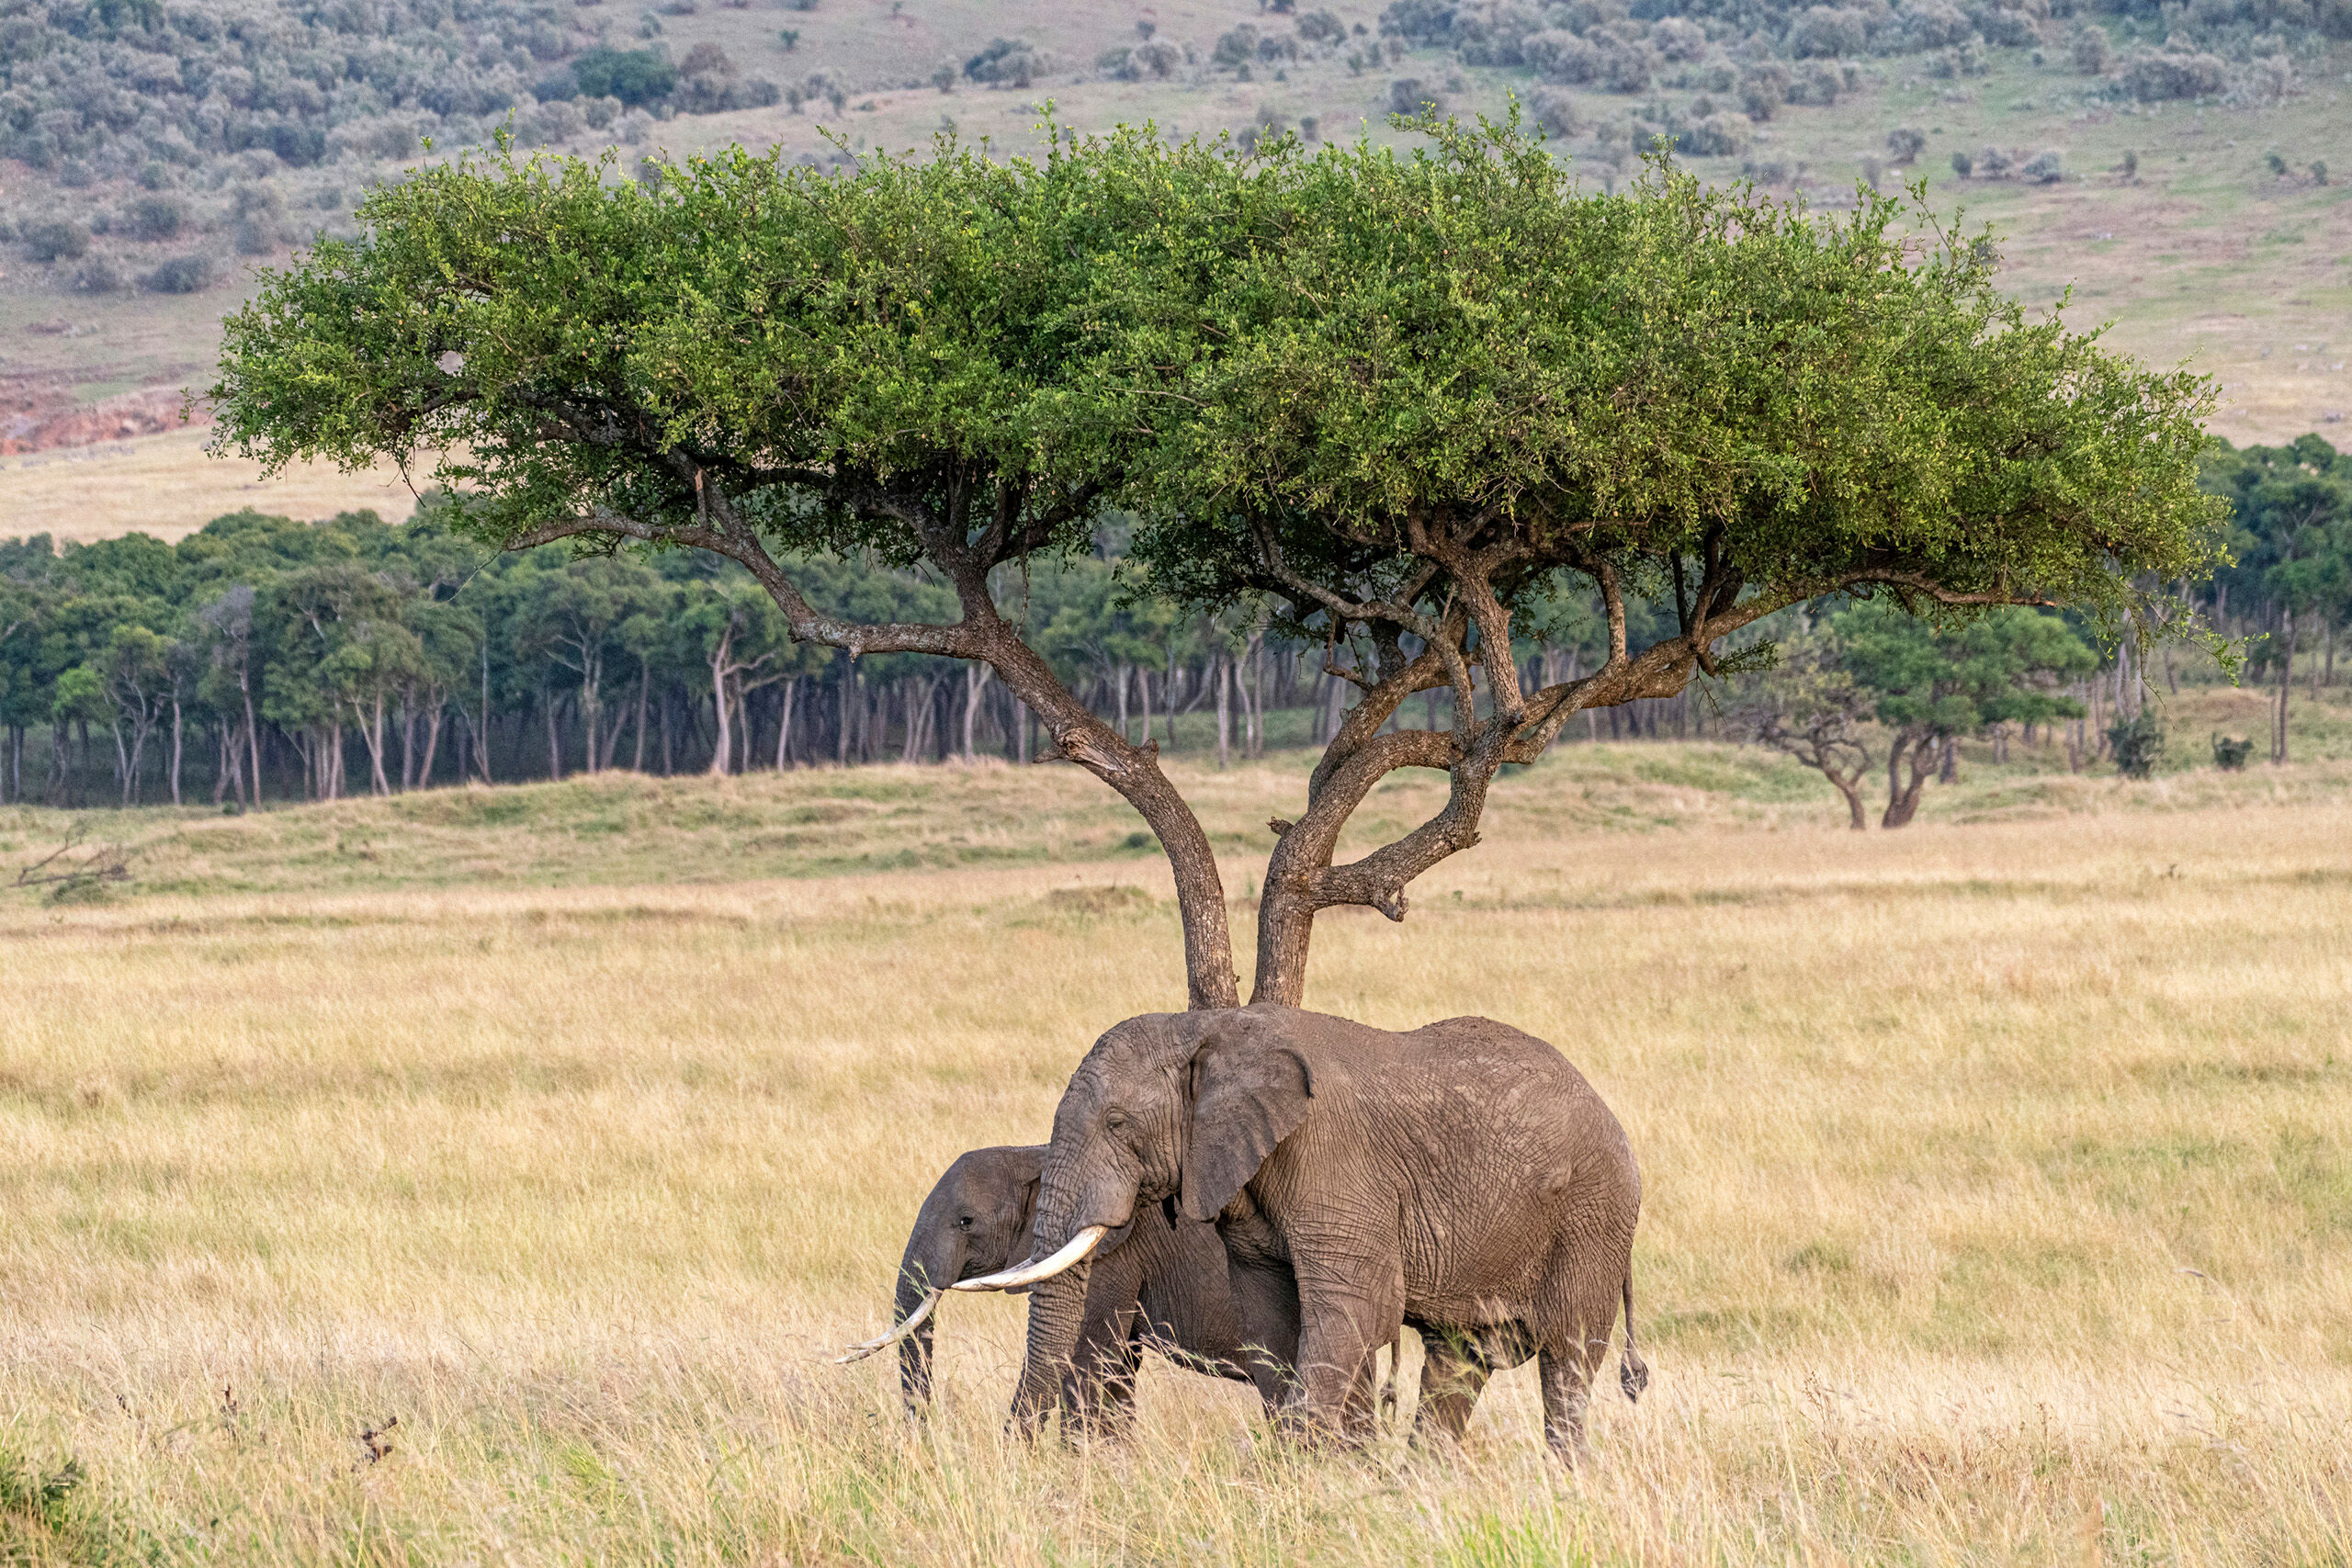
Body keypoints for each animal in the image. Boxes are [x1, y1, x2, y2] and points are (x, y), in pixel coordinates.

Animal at [837, 1143, 1294, 1434]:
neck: (1038, 1154)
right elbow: (1116, 1372)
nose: (925, 1438)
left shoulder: (1111, 1256)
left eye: (966, 1221)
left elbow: (1083, 1360)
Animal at [953, 1006, 1648, 1460]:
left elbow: (1353, 1310)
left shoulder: (1334, 1162)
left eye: (1118, 1123)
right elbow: (1273, 1317)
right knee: (1459, 1361)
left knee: (1568, 1359)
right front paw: (1327, 1473)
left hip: (1594, 1217)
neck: (1207, 1028)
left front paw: (1287, 1472)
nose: (1017, 1455)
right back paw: (1418, 1486)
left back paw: (1564, 1481)